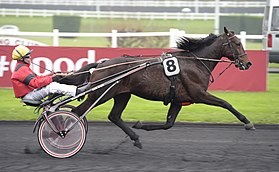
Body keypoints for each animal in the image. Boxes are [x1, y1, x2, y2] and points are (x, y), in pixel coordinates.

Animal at [63, 27, 256, 148]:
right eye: (237, 43)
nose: (248, 63)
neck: (196, 63)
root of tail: (101, 64)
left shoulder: (178, 99)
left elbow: (168, 124)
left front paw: (141, 125)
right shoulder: (199, 94)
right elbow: (226, 103)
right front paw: (247, 122)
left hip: (122, 94)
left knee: (114, 116)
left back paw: (135, 138)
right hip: (100, 94)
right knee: (77, 112)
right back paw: (64, 132)